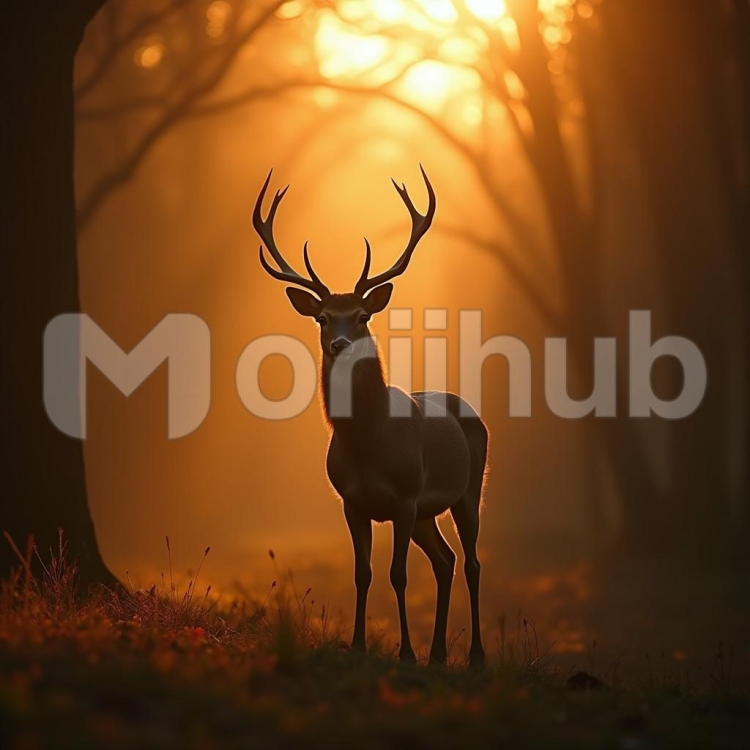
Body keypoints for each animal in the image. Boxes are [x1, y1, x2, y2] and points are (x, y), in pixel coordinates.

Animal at [252, 167, 488, 668]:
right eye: (322, 317)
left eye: (362, 315)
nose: (340, 344)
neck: (367, 443)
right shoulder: (352, 500)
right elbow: (363, 573)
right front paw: (359, 645)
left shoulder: (405, 494)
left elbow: (398, 575)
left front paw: (406, 654)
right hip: (426, 513)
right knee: (445, 561)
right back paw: (439, 654)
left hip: (467, 489)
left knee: (472, 561)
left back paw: (475, 655)